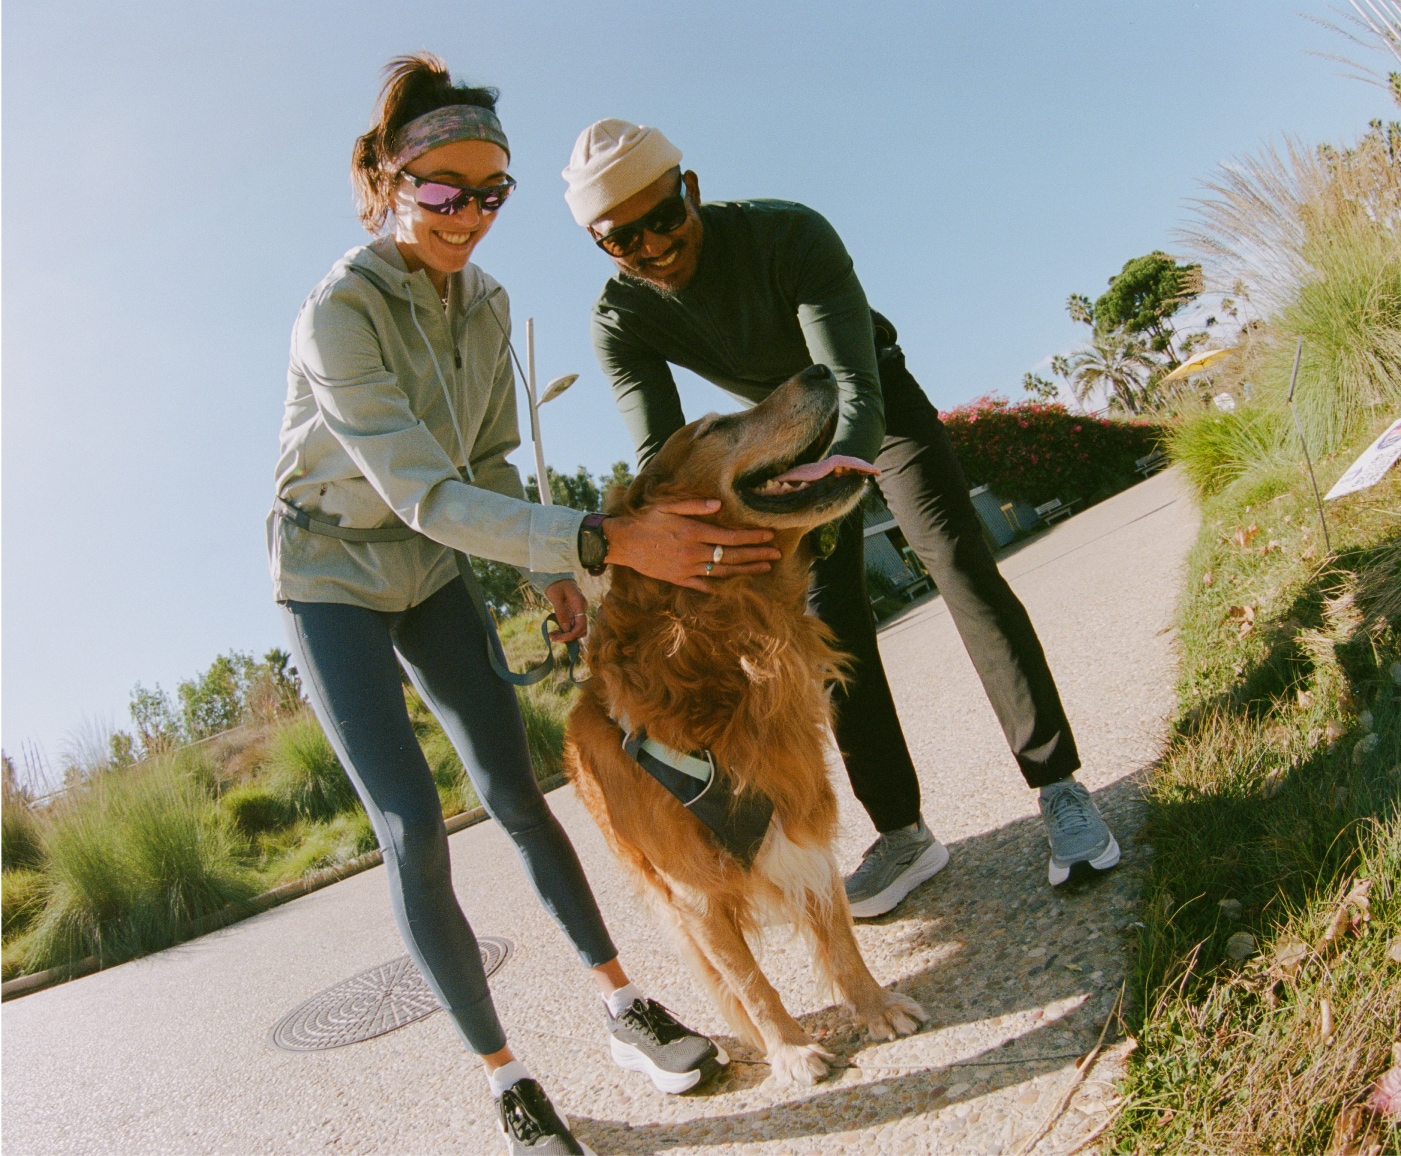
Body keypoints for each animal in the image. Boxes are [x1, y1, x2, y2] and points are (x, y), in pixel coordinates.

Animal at [563, 364, 924, 1081]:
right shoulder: (693, 892)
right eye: (714, 428)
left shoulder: (800, 812)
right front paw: (788, 1049)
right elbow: (750, 981)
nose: (818, 367)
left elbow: (837, 935)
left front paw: (871, 1007)